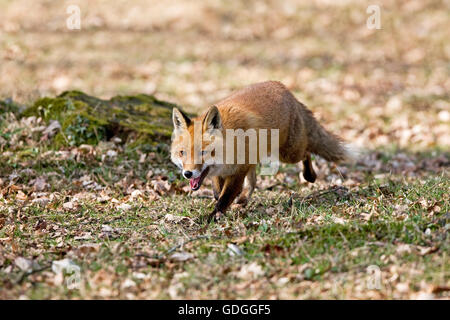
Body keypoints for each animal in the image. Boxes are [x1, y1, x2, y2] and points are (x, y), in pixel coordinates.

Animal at [171, 81, 354, 221]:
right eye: (182, 153)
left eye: (203, 152)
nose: (187, 174)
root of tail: (285, 89)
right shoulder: (220, 171)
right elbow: (218, 192)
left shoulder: (237, 172)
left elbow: (224, 198)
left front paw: (212, 217)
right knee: (253, 180)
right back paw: (243, 199)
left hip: (288, 153)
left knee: (306, 151)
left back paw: (310, 175)